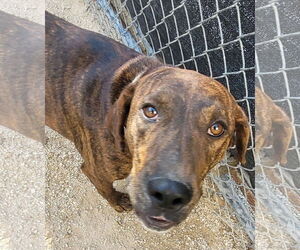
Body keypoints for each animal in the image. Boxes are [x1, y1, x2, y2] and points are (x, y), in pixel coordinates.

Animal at [45, 11, 250, 230]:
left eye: (217, 128)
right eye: (150, 111)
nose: (169, 193)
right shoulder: (96, 171)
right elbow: (106, 189)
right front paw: (117, 201)